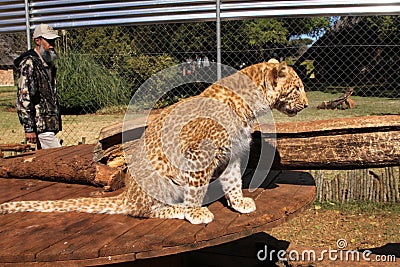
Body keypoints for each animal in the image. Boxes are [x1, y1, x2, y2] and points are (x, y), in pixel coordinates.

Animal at [0, 60, 308, 224]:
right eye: (296, 88)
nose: (306, 104)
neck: (249, 105)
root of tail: (126, 194)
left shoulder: (232, 153)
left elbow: (233, 181)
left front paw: (239, 202)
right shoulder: (198, 153)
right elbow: (197, 187)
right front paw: (196, 212)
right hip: (160, 179)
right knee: (144, 211)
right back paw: (179, 209)